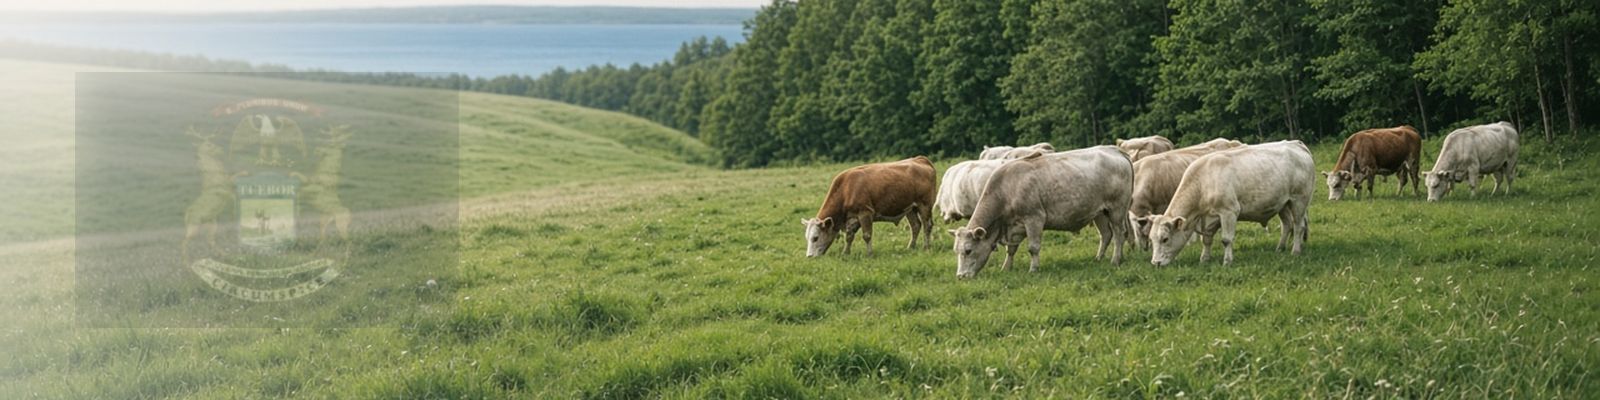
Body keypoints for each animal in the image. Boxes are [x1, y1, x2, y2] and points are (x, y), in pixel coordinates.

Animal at [802, 156, 937, 257]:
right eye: (807, 237)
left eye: (815, 238)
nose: (809, 256)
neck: (846, 189)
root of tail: (920, 159)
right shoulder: (852, 218)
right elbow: (849, 237)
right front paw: (845, 253)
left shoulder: (865, 213)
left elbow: (866, 235)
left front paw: (869, 254)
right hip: (910, 208)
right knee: (915, 226)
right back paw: (911, 247)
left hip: (924, 205)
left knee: (927, 225)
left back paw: (926, 247)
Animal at [950, 146, 1132, 278]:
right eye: (956, 251)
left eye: (968, 250)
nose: (960, 276)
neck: (1007, 189)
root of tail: (1115, 150)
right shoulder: (1014, 227)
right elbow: (1011, 249)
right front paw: (1006, 267)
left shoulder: (1034, 218)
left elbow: (1033, 247)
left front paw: (1033, 269)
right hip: (1100, 213)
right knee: (1106, 235)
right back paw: (1099, 258)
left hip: (1117, 209)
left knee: (1118, 234)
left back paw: (1115, 260)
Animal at [1146, 141, 1315, 266]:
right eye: (1151, 239)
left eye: (1165, 239)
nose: (1155, 263)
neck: (1203, 182)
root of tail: (1296, 143)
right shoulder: (1210, 218)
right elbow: (1206, 239)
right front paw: (1204, 259)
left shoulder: (1229, 211)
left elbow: (1226, 240)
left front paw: (1227, 261)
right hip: (1283, 203)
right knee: (1287, 225)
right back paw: (1280, 248)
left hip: (1299, 200)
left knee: (1298, 226)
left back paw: (1295, 251)